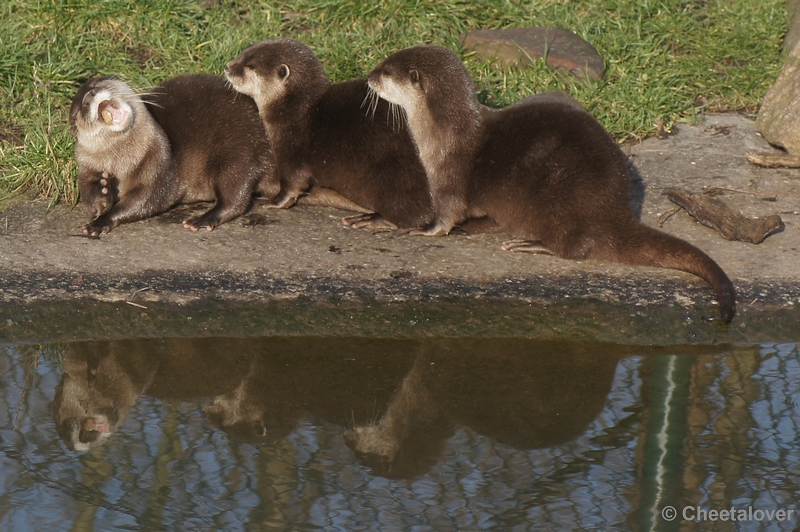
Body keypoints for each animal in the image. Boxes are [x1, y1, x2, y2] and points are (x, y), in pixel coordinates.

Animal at [71, 74, 366, 236]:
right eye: (79, 110)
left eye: (99, 82)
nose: (91, 95)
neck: (123, 161)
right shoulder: (87, 165)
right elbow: (86, 192)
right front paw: (101, 192)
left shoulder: (158, 164)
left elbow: (149, 198)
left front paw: (102, 221)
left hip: (240, 154)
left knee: (236, 196)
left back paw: (203, 219)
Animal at [368, 45, 736, 322]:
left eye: (386, 71)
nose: (369, 77)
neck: (443, 134)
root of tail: (615, 211)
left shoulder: (448, 176)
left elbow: (447, 214)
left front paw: (424, 231)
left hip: (562, 205)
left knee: (575, 247)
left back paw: (530, 244)